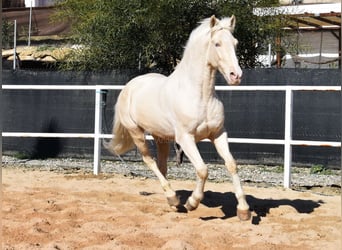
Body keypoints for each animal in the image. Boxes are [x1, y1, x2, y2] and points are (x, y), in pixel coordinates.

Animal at [109, 14, 251, 220]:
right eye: (216, 43)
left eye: (235, 43)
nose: (236, 76)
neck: (200, 96)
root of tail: (129, 86)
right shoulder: (185, 139)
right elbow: (202, 169)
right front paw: (192, 202)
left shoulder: (218, 134)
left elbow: (231, 164)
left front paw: (244, 210)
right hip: (136, 133)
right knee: (149, 161)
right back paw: (174, 198)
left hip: (160, 137)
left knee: (162, 166)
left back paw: (172, 201)